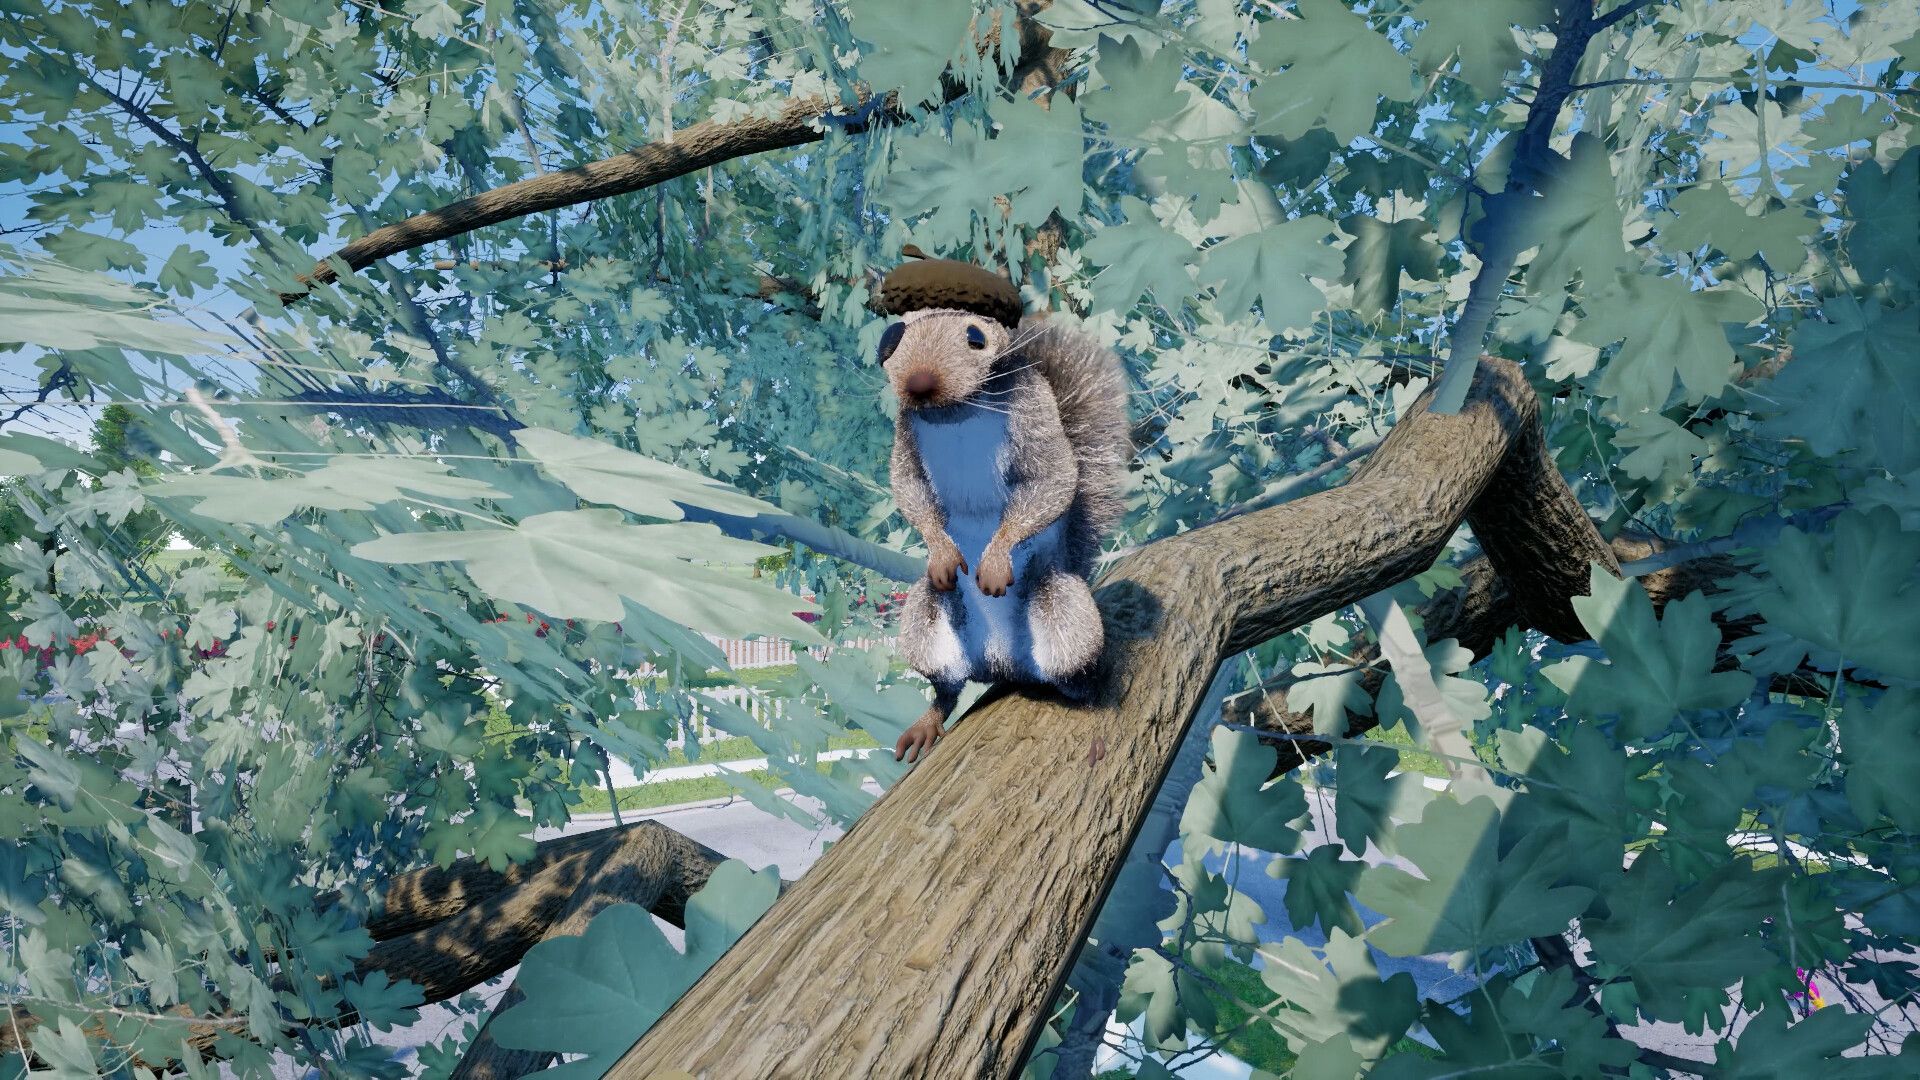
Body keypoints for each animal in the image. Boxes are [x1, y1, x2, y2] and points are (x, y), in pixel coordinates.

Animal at [875, 248, 1130, 763]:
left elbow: (1052, 479)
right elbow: (909, 488)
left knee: (1079, 675)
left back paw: (1094, 710)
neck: (956, 413)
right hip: (926, 622)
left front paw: (993, 562)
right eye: (890, 339)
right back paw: (928, 722)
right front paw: (941, 552)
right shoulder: (906, 436)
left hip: (1065, 618)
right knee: (946, 688)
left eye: (976, 336)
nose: (919, 383)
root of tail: (1004, 665)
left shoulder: (1034, 411)